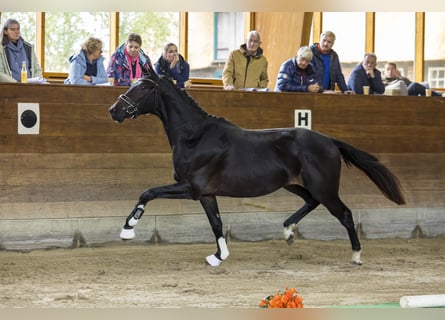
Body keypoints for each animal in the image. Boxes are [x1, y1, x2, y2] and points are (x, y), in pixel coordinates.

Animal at [108, 69, 406, 266]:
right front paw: (219, 257)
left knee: (344, 213)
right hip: (295, 184)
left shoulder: (190, 188)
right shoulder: (206, 194)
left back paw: (356, 255)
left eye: (142, 87)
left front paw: (127, 230)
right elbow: (216, 223)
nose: (114, 111)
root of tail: (330, 141)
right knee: (311, 202)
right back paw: (287, 232)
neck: (196, 136)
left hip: (325, 188)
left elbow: (148, 192)